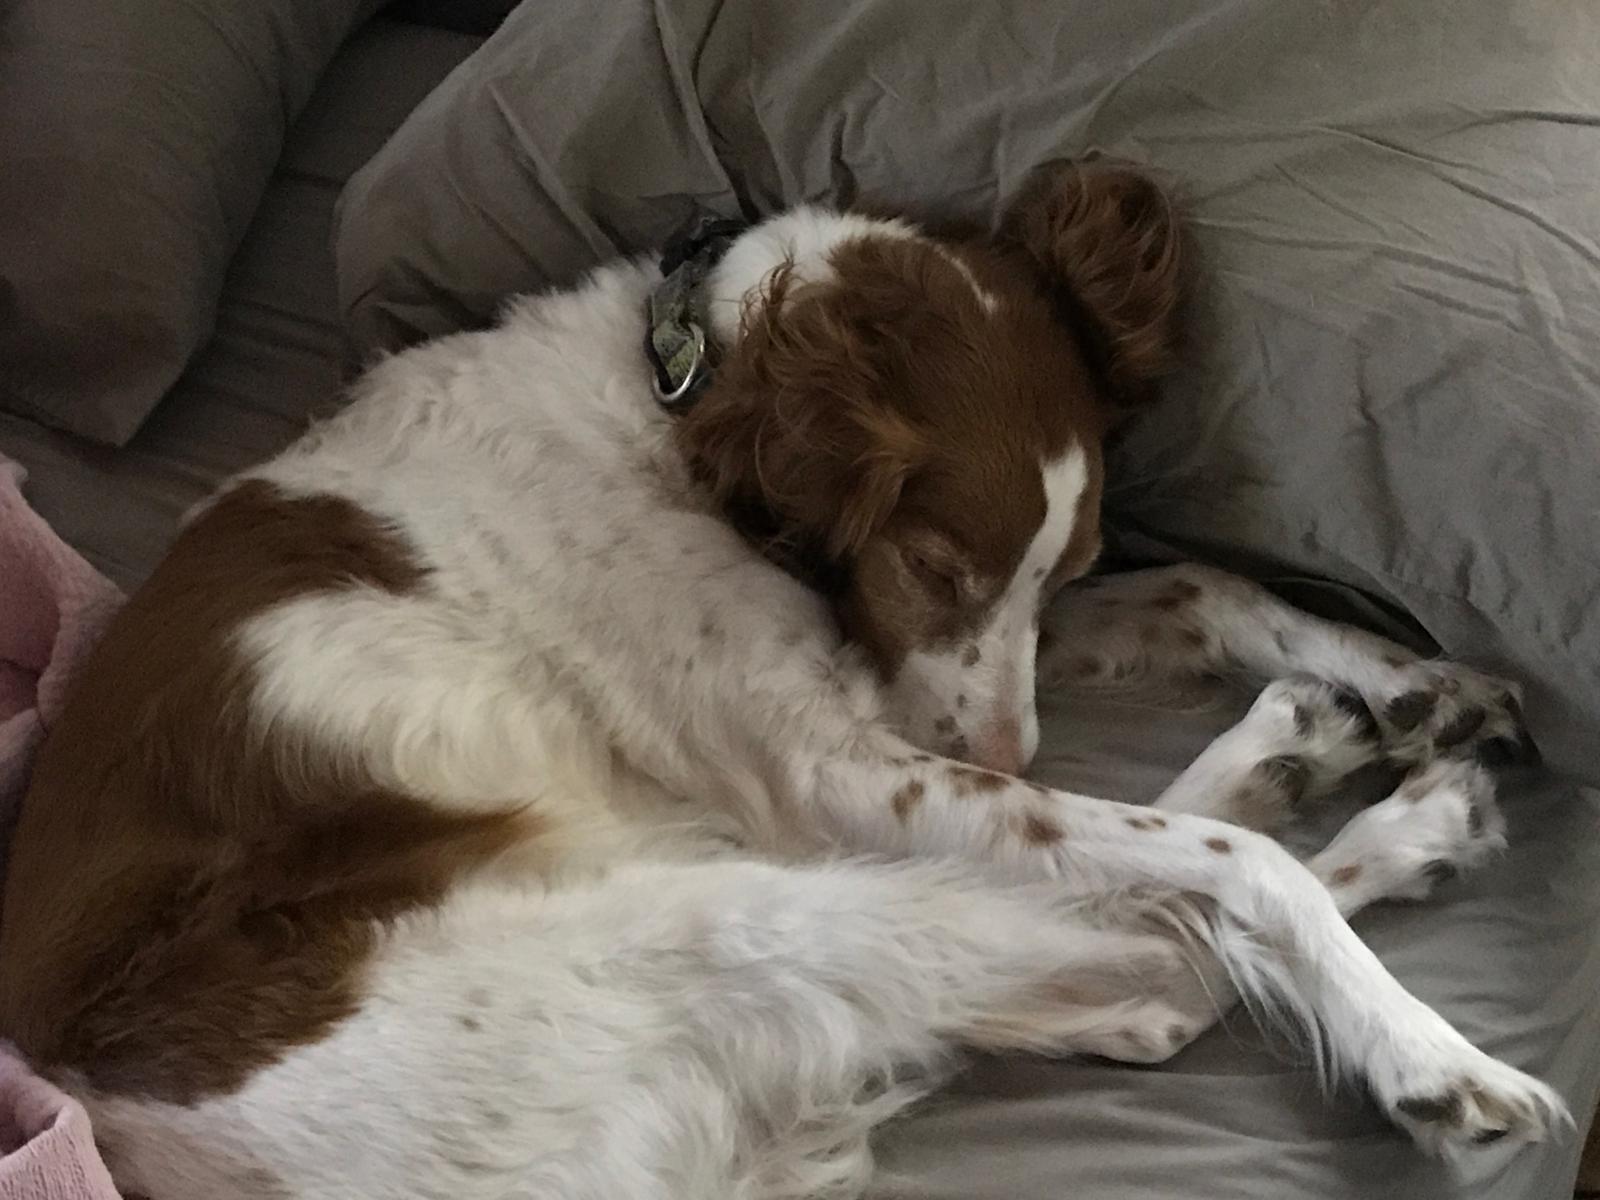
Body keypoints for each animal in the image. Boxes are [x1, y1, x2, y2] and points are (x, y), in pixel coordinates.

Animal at [0, 163, 1566, 1199]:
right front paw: (1417, 1037)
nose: (1007, 758)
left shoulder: (899, 675)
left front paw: (1411, 674)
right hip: (715, 918)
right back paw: (1419, 996)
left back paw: (1348, 770)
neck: (673, 395)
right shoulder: (835, 768)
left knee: (1131, 974)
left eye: (1059, 570)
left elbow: (1207, 587)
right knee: (1152, 954)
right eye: (934, 561)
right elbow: (1235, 870)